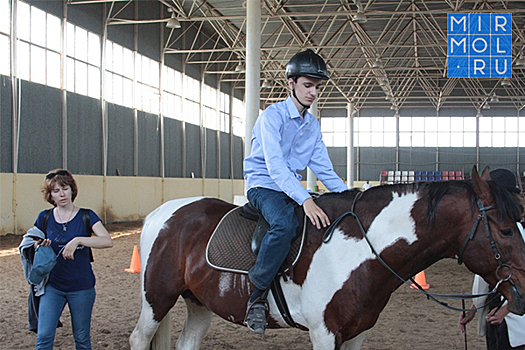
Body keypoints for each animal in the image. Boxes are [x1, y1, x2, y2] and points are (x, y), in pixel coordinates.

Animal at [130, 168, 524, 348]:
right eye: (506, 230)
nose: (522, 288)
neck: (361, 250)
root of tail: (162, 213)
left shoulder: (357, 333)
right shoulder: (324, 333)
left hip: (198, 303)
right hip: (157, 299)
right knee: (139, 338)